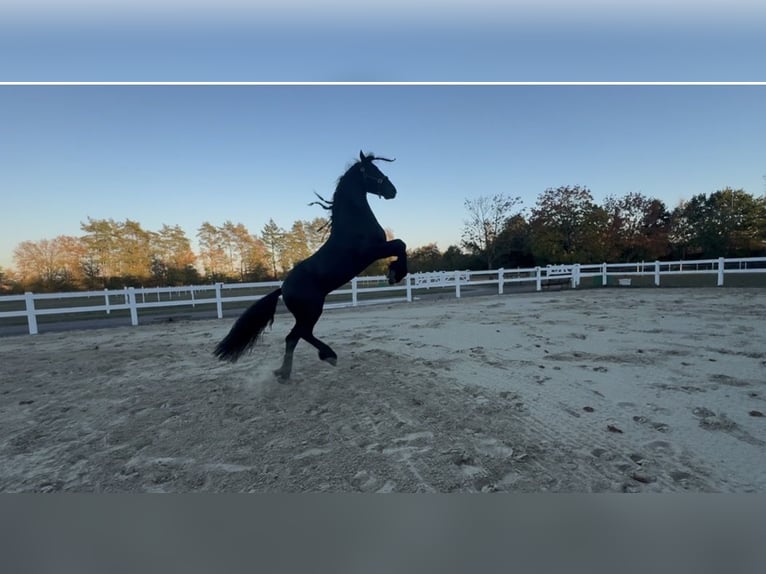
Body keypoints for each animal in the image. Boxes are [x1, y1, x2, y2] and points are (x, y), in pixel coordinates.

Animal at [214, 150, 408, 380]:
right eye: (372, 170)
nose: (392, 191)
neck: (353, 223)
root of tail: (283, 288)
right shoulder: (373, 251)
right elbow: (401, 245)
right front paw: (395, 274)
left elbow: (401, 246)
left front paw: (394, 273)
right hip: (312, 311)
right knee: (299, 335)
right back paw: (327, 356)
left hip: (306, 314)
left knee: (293, 338)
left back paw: (284, 372)